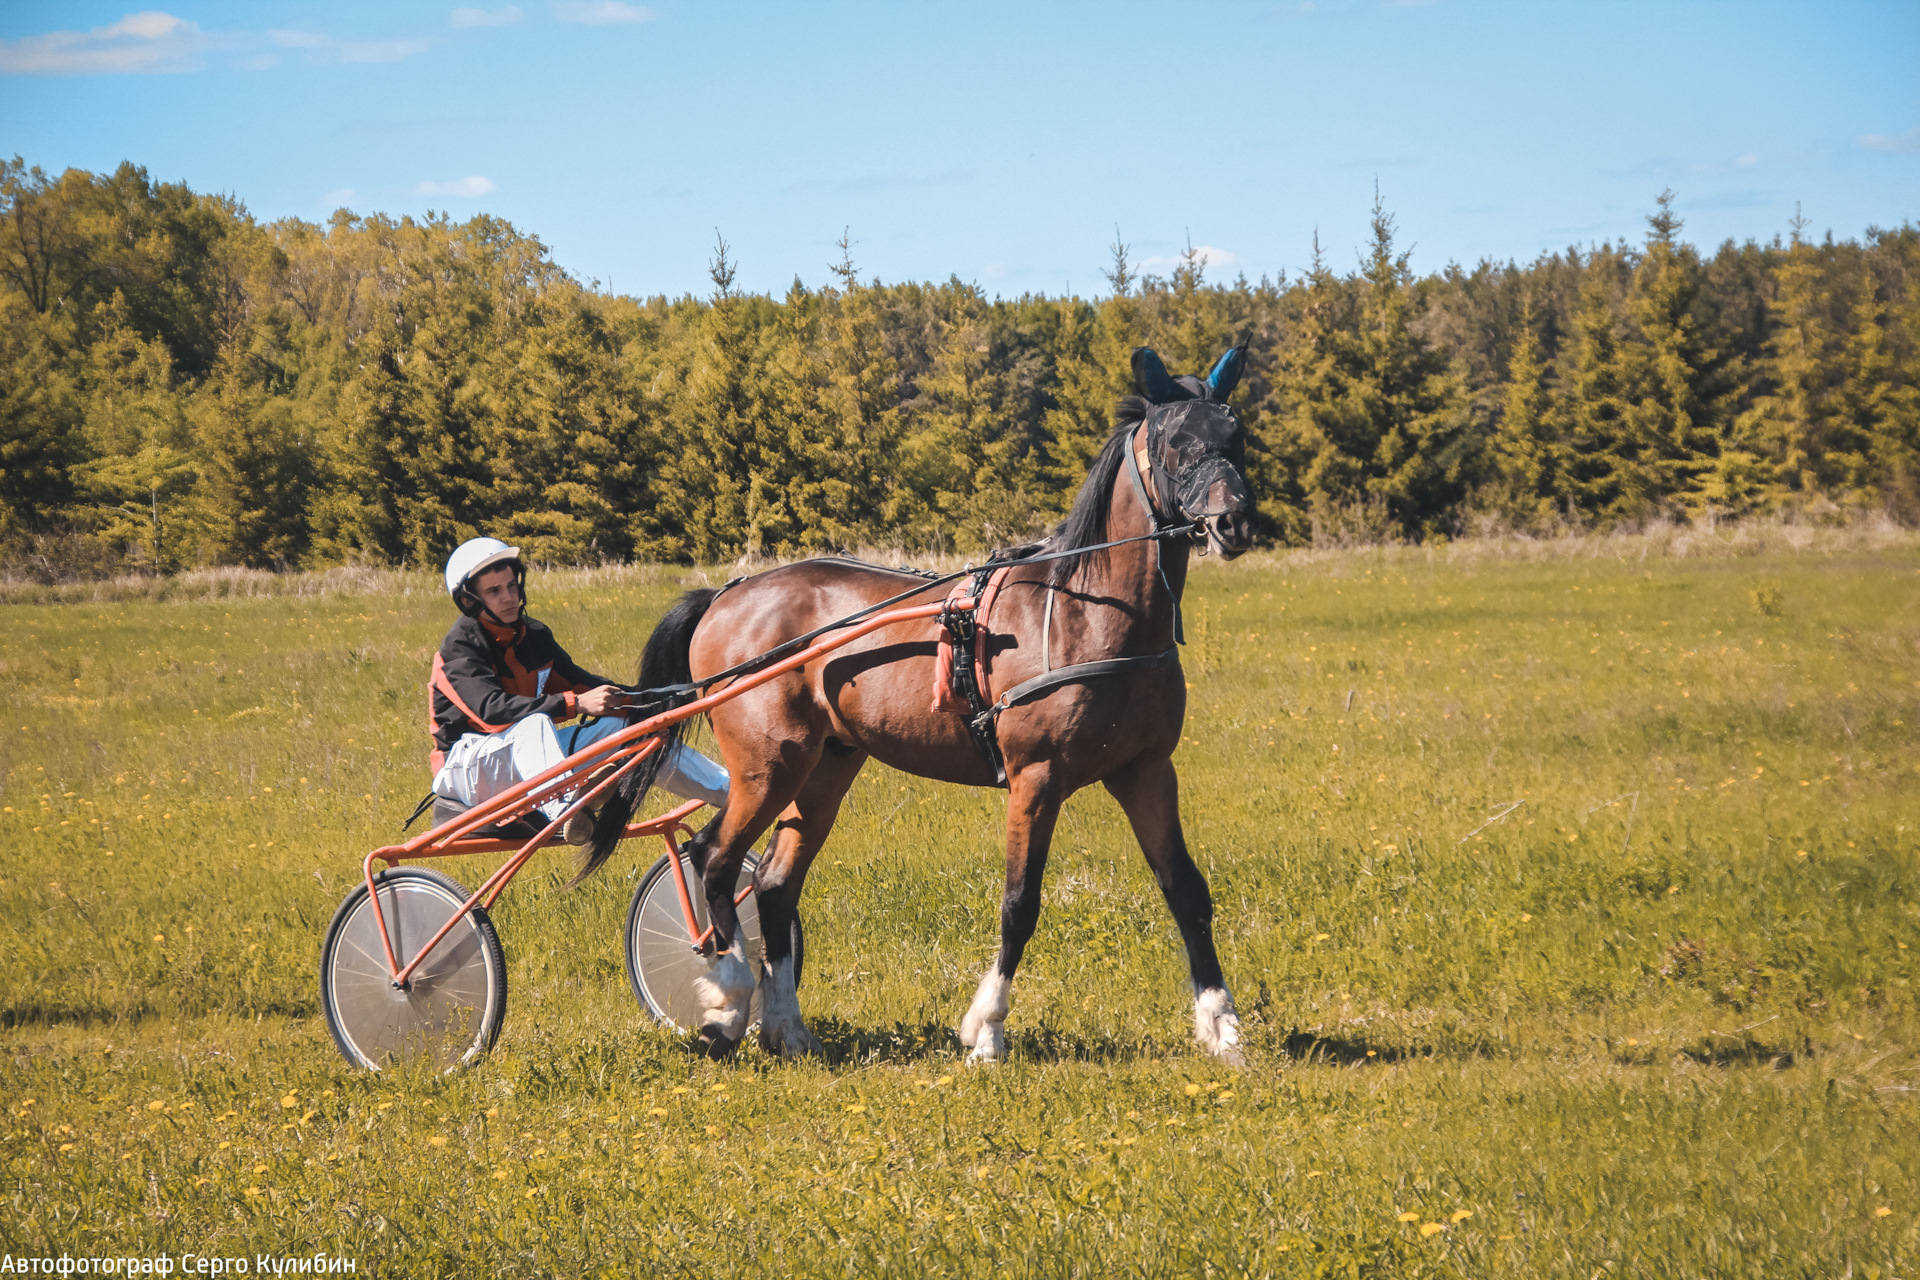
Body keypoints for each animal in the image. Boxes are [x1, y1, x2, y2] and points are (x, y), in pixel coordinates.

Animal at [576, 345, 1259, 1066]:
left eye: (1235, 434)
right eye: (1175, 440)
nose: (1234, 521)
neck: (1088, 611)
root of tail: (729, 593)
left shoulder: (1147, 771)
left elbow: (1186, 891)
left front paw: (1222, 1026)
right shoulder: (1036, 779)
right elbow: (1020, 903)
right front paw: (987, 1030)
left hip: (824, 768)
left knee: (774, 885)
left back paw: (788, 1028)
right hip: (766, 767)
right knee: (713, 860)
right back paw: (728, 1001)